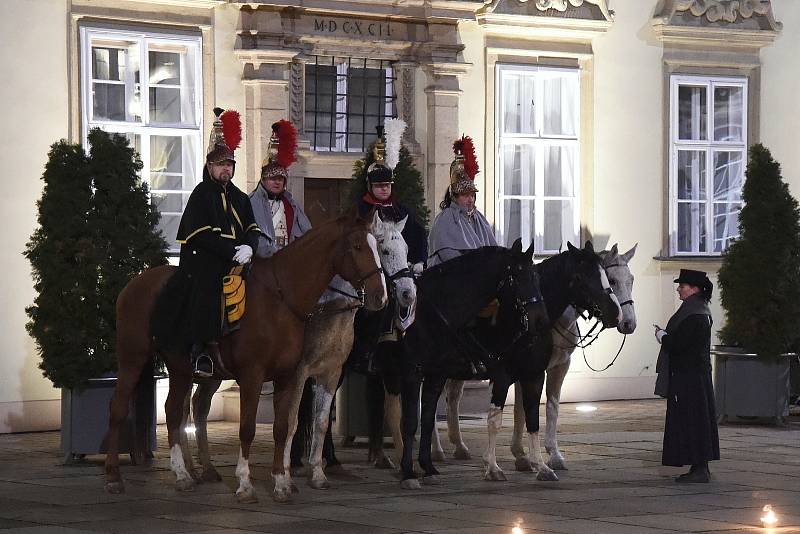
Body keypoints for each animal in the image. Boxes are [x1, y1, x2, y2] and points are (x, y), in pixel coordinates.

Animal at [101, 211, 390, 504]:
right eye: (357, 246)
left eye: (378, 247)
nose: (381, 296)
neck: (280, 299)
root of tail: (134, 283)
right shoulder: (254, 375)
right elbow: (248, 428)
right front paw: (245, 484)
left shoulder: (289, 376)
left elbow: (282, 427)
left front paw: (281, 484)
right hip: (133, 357)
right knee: (120, 408)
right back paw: (116, 476)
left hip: (182, 368)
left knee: (177, 410)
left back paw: (187, 473)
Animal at [181, 213, 416, 502]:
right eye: (383, 249)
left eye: (405, 249)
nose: (405, 294)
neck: (329, 313)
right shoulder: (298, 373)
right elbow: (292, 422)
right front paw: (287, 474)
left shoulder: (332, 372)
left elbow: (320, 421)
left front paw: (315, 471)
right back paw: (189, 470)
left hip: (214, 375)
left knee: (198, 405)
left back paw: (204, 468)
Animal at [432, 245, 636, 480]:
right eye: (612, 280)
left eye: (631, 279)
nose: (624, 320)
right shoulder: (507, 374)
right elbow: (500, 417)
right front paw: (496, 465)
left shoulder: (546, 369)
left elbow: (539, 410)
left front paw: (540, 459)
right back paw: (437, 450)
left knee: (452, 398)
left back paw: (458, 446)